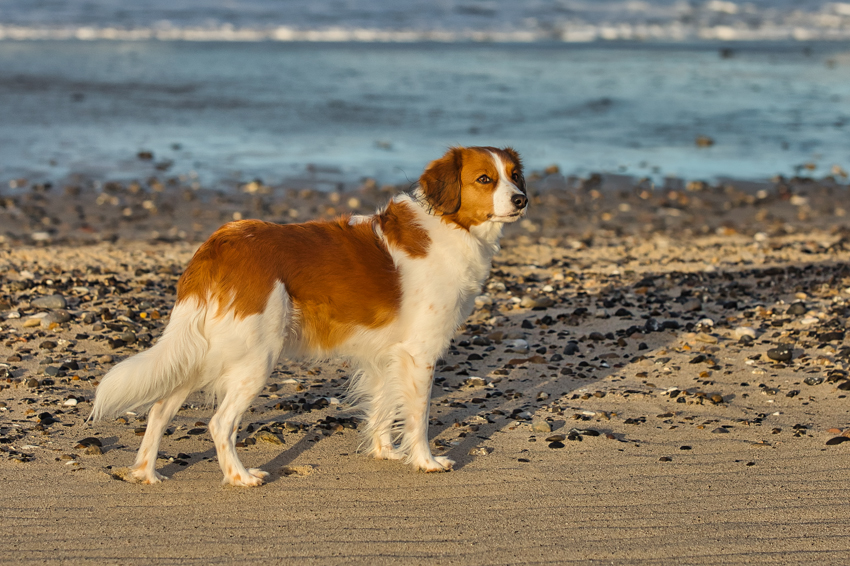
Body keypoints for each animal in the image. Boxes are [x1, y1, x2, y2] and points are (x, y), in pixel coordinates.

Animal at [91, 148, 524, 488]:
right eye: (484, 179)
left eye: (515, 175)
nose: (521, 199)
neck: (450, 226)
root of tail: (219, 244)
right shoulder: (419, 353)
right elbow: (418, 416)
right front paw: (425, 461)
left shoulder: (388, 354)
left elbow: (384, 406)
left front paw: (384, 451)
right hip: (256, 355)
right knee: (219, 423)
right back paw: (239, 476)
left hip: (205, 349)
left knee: (160, 408)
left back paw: (146, 472)